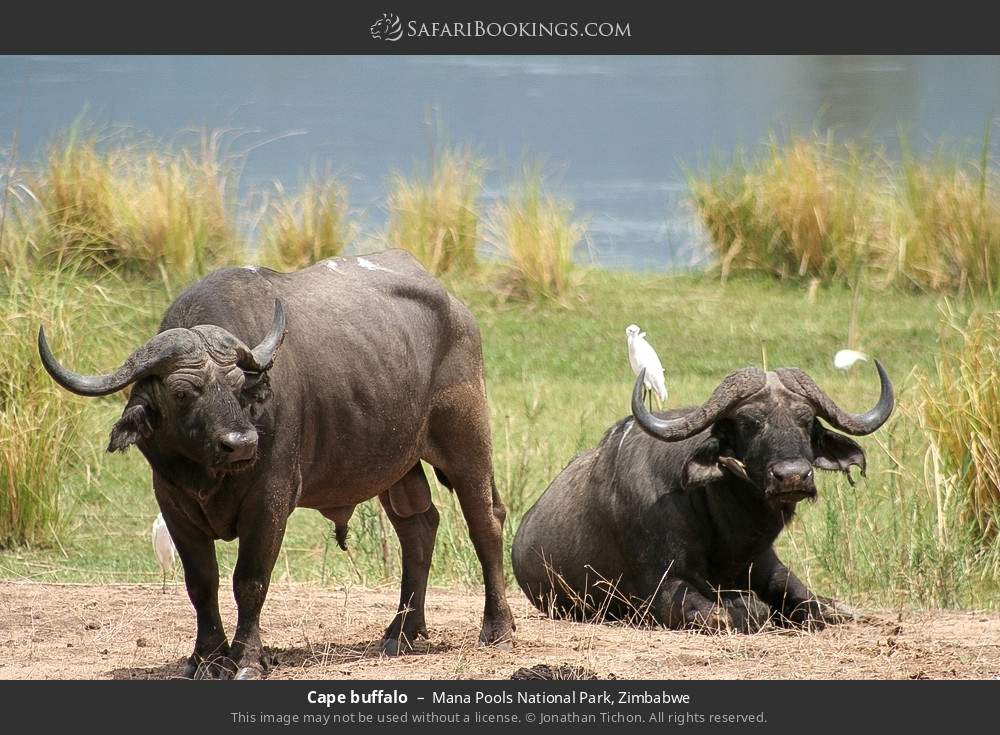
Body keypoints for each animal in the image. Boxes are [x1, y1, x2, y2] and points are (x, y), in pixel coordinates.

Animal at [39, 250, 514, 678]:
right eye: (182, 393)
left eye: (238, 387)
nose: (242, 444)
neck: (210, 474)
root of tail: (454, 307)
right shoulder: (173, 504)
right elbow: (201, 582)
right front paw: (206, 657)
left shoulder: (269, 501)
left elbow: (250, 581)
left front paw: (248, 659)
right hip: (396, 465)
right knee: (418, 527)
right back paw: (402, 632)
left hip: (466, 438)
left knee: (485, 520)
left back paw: (497, 627)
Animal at [512, 362, 894, 631]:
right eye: (748, 423)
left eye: (806, 420)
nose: (792, 476)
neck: (728, 537)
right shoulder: (663, 590)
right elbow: (740, 611)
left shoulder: (769, 566)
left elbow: (817, 607)